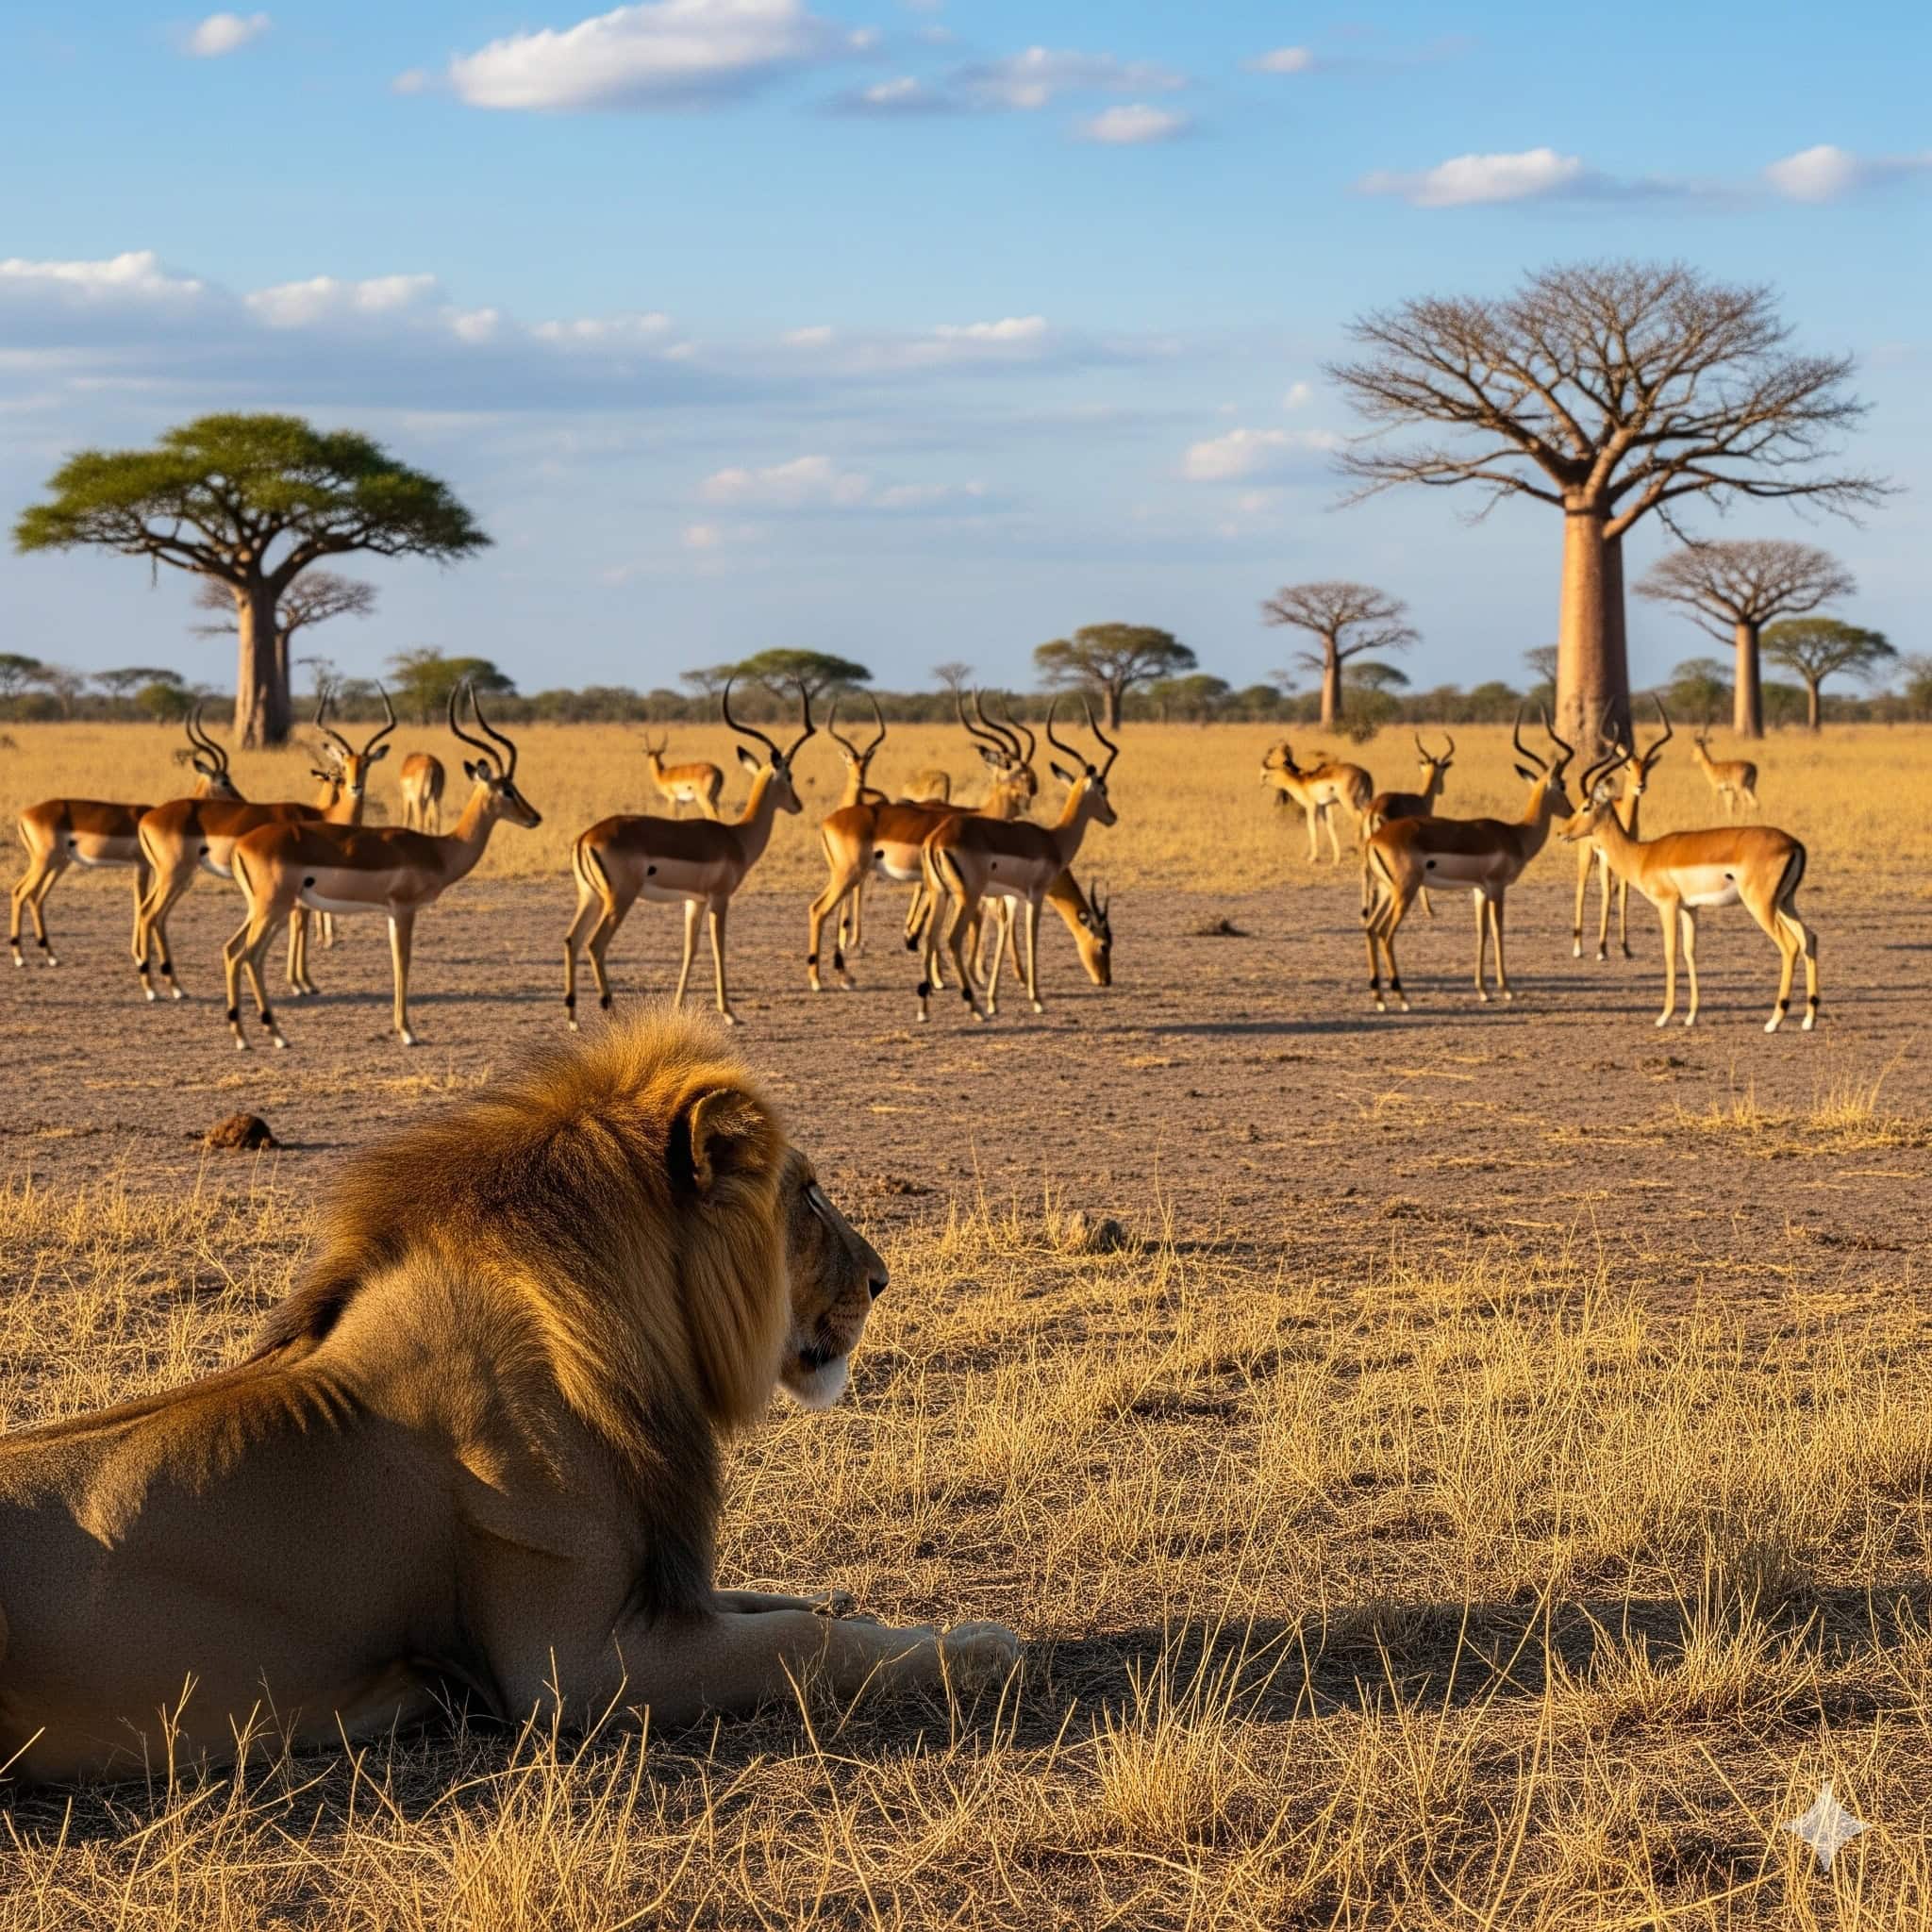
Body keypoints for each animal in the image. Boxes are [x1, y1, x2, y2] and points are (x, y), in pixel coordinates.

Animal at [0, 1009, 1018, 1784]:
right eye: (805, 1195)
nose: (881, 1279)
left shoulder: (659, 1589)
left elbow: (780, 1606)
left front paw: (865, 1604)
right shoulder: (570, 1668)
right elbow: (800, 1645)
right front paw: (979, 1645)